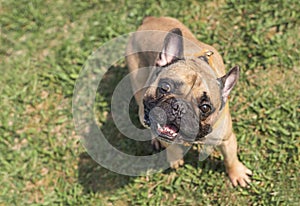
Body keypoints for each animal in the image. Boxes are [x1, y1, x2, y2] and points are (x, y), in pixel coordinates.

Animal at [125, 16, 252, 187]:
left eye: (205, 107)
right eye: (165, 87)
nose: (179, 106)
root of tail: (150, 20)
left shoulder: (226, 139)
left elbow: (230, 158)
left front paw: (237, 173)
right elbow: (168, 143)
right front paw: (175, 157)